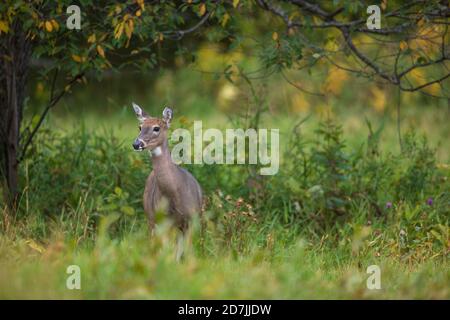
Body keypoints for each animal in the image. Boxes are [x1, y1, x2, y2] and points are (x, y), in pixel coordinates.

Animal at [130, 103, 200, 260]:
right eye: (139, 127)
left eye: (157, 128)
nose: (136, 144)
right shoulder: (162, 220)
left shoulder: (191, 218)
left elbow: (188, 251)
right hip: (151, 218)